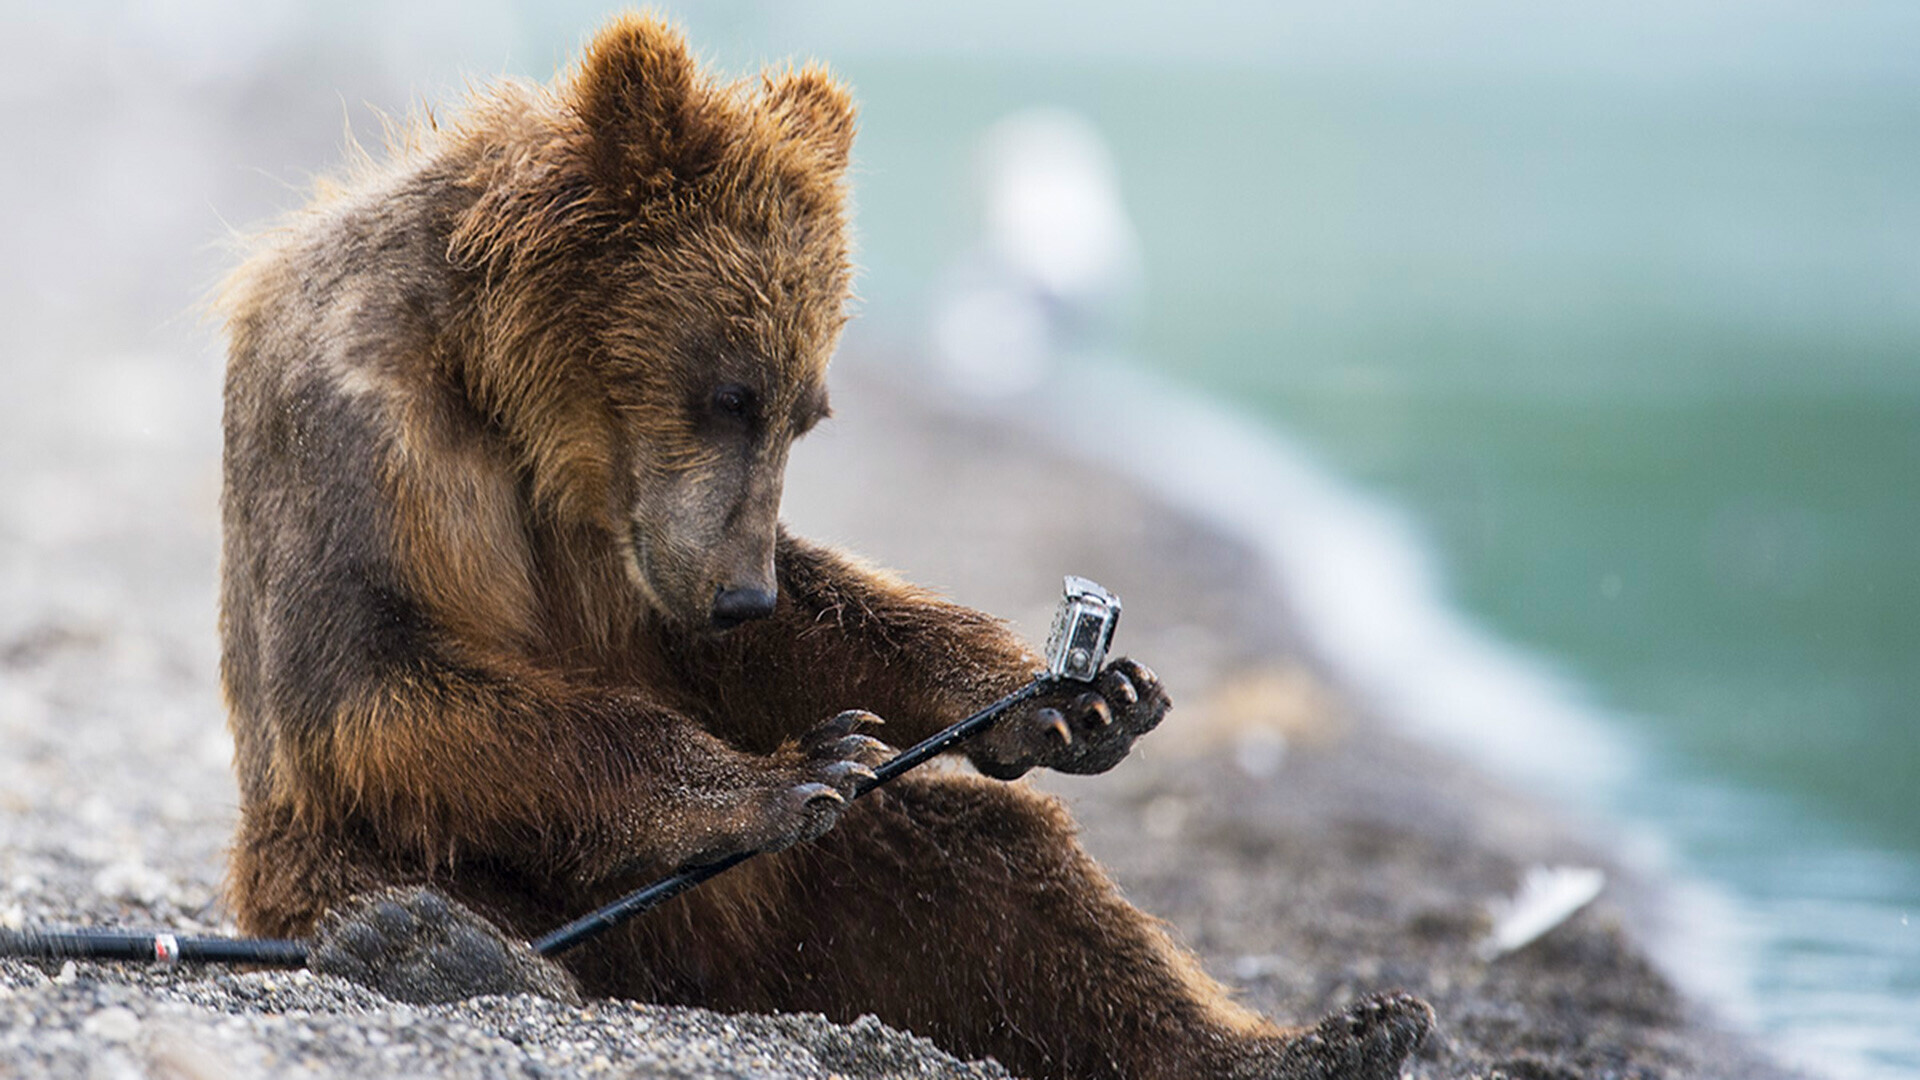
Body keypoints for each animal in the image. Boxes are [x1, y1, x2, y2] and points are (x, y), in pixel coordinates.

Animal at [217, 14, 1436, 1076]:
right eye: (731, 393)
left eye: (806, 413)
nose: (740, 594)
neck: (510, 397)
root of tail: (692, 985)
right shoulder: (366, 434)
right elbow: (386, 675)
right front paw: (780, 777)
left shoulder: (649, 547)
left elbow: (787, 631)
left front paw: (1066, 698)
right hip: (358, 859)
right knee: (416, 867)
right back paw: (441, 946)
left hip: (802, 904)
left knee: (1005, 875)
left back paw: (1331, 1036)